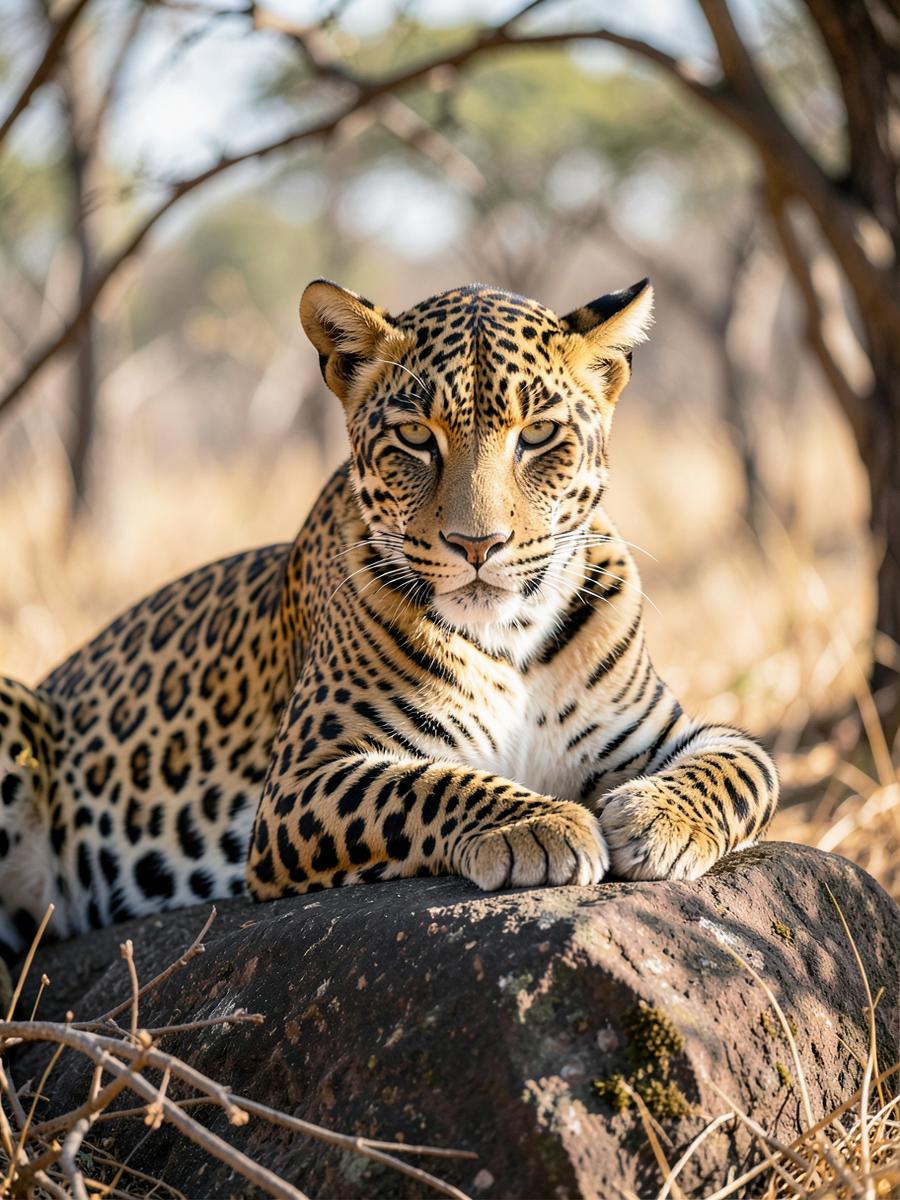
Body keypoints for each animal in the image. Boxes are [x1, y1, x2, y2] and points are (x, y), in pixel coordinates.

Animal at [0, 276, 779, 972]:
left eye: (538, 434)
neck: (514, 639)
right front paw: (540, 824)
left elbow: (745, 766)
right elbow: (426, 784)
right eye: (413, 436)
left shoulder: (665, 731)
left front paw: (655, 821)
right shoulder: (301, 781)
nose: (476, 545)